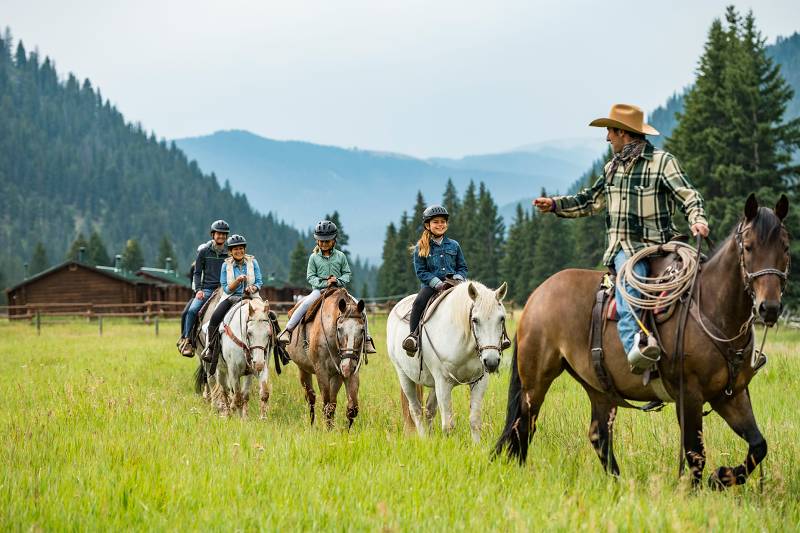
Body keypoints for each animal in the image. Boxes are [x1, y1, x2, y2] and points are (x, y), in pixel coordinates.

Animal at [286, 286, 368, 428]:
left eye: (362, 330)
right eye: (339, 329)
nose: (348, 366)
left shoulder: (346, 372)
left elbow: (351, 409)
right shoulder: (322, 372)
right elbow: (327, 406)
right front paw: (328, 429)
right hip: (303, 369)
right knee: (311, 397)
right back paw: (312, 425)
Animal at [386, 278, 506, 440]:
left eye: (502, 319)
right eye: (475, 320)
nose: (492, 361)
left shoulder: (479, 381)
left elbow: (475, 420)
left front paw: (477, 445)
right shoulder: (443, 382)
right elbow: (448, 425)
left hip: (433, 383)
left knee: (429, 411)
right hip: (404, 376)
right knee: (416, 410)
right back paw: (424, 439)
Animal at [496, 193, 792, 488]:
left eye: (786, 248)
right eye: (749, 247)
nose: (769, 308)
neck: (713, 310)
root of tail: (537, 295)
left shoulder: (732, 394)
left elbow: (758, 445)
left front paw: (721, 477)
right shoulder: (690, 395)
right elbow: (695, 453)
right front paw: (699, 488)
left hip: (598, 387)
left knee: (598, 435)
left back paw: (618, 483)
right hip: (536, 380)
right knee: (523, 426)